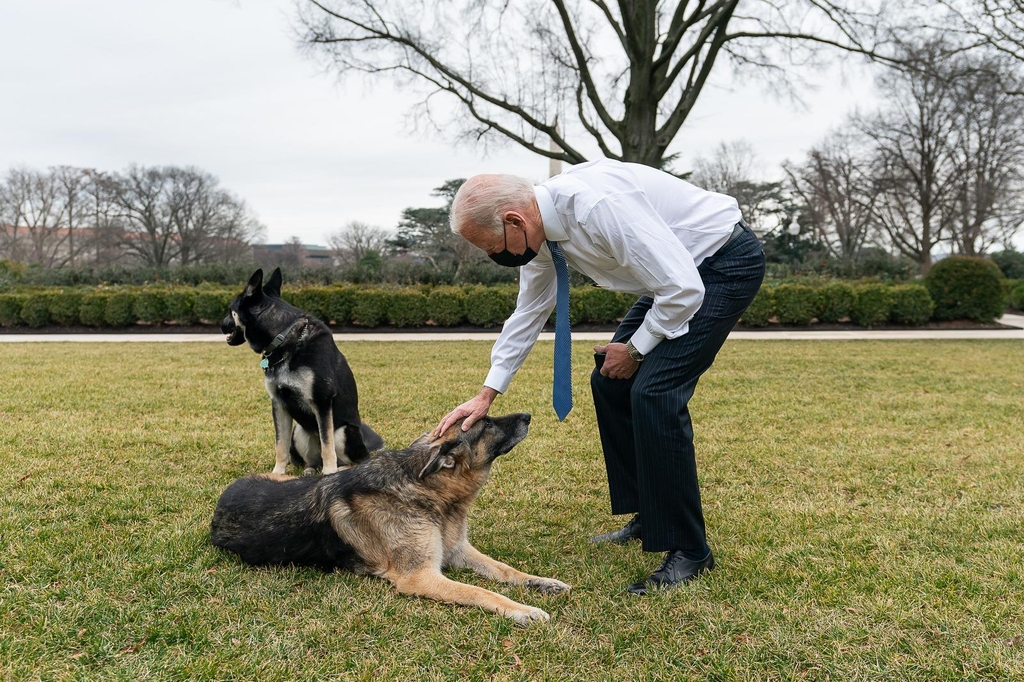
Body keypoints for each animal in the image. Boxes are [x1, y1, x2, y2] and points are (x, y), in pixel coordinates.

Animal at [221, 266, 385, 473]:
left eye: (230, 310)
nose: (220, 325)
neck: (283, 337)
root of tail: (366, 448)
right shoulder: (279, 404)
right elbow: (280, 445)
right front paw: (277, 473)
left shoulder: (322, 403)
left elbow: (327, 445)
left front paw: (329, 473)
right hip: (299, 431)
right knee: (312, 460)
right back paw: (311, 470)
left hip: (344, 432)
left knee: (354, 460)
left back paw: (338, 469)